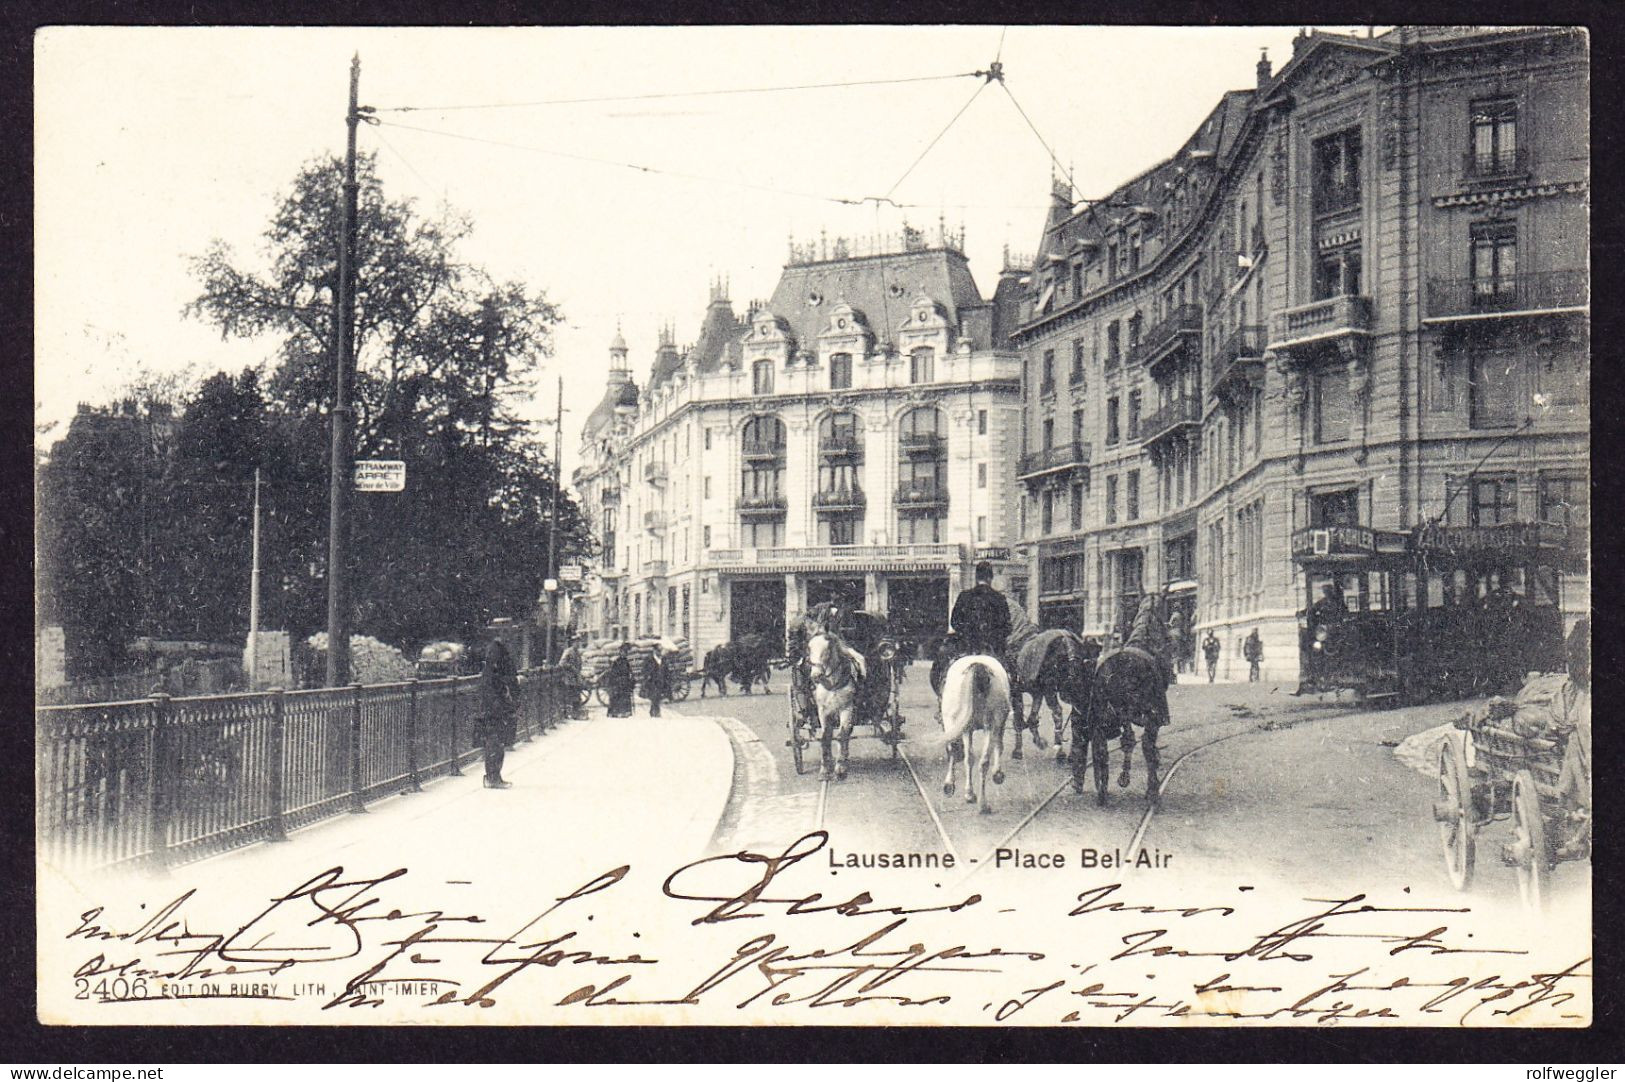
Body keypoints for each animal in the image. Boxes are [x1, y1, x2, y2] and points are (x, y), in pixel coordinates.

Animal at [806, 627, 871, 779]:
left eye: (828, 648)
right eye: (809, 648)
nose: (816, 675)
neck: (833, 684)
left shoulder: (847, 709)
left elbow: (842, 734)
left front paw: (840, 767)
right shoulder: (822, 711)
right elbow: (826, 736)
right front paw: (825, 768)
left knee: (846, 733)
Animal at [936, 653, 1007, 812]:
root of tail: (977, 666)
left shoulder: (964, 728)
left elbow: (963, 756)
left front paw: (961, 790)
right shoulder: (996, 723)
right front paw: (997, 774)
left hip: (954, 722)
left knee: (958, 751)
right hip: (990, 724)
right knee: (983, 761)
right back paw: (983, 803)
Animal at [1079, 591, 1170, 799]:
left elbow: (1128, 740)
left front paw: (1123, 777)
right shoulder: (1152, 715)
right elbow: (1145, 744)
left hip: (1104, 713)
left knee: (1103, 749)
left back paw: (1104, 789)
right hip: (1145, 713)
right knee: (1144, 744)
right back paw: (1152, 789)